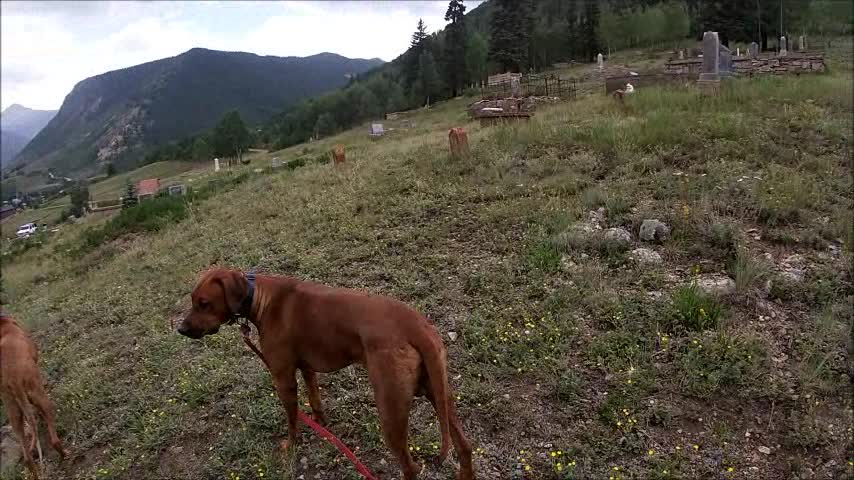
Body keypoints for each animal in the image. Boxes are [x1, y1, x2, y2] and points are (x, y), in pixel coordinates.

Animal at [1, 314, 68, 478]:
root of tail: (12, 379)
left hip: (13, 411)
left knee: (27, 458)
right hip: (40, 396)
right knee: (54, 440)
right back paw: (65, 454)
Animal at [180, 270, 474, 480]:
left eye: (204, 303)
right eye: (192, 301)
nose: (180, 330)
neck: (261, 296)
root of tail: (417, 326)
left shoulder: (283, 379)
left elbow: (292, 419)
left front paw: (291, 446)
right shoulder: (307, 369)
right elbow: (315, 399)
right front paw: (323, 425)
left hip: (391, 411)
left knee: (410, 468)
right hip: (439, 393)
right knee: (465, 447)